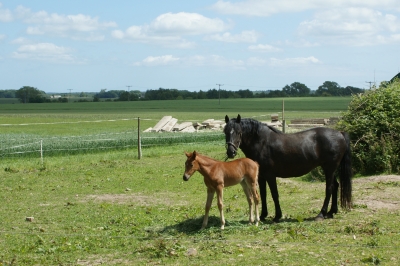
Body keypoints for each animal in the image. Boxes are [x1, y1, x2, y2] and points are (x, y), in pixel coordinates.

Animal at [223, 114, 352, 222]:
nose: (231, 152)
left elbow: (274, 194)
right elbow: (263, 194)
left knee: (329, 188)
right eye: (225, 132)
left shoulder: (270, 175)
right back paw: (331, 212)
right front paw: (263, 215)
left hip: (329, 169)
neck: (261, 142)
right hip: (330, 169)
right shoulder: (261, 176)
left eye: (239, 132)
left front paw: (277, 216)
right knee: (335, 186)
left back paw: (321, 214)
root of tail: (340, 133)